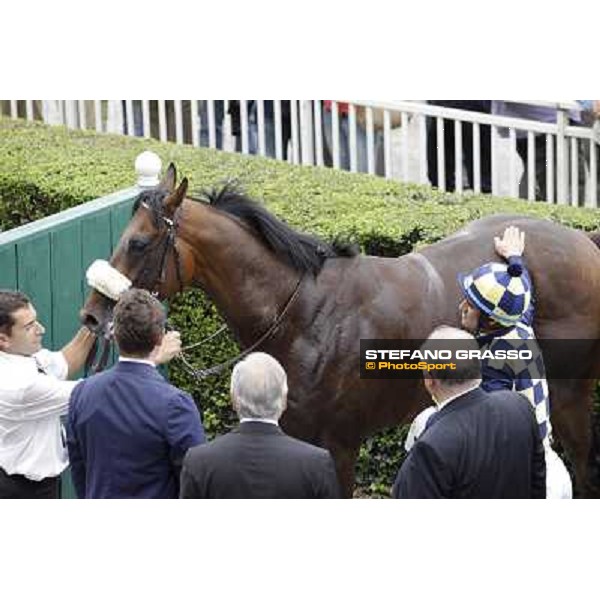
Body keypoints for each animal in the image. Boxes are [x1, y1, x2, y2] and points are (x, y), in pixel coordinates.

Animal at [81, 164, 600, 496]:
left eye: (139, 242)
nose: (92, 315)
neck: (303, 316)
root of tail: (583, 240)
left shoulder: (339, 445)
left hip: (569, 393)